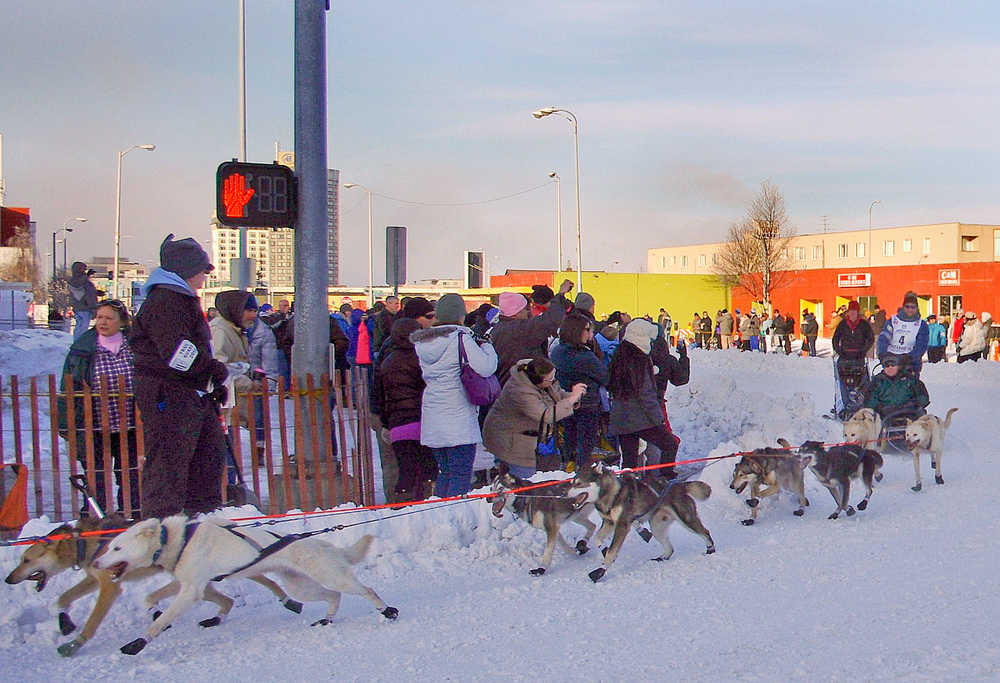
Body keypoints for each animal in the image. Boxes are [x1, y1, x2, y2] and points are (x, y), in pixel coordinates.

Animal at [2, 520, 292, 656]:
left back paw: (284, 597)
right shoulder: (94, 578)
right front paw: (64, 621)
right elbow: (63, 598)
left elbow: (92, 622)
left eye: (26, 559)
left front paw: (75, 644)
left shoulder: (109, 587)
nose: (8, 579)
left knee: (266, 580)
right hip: (201, 580)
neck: (87, 543)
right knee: (226, 599)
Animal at [93, 520, 398, 656]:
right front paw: (154, 611)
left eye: (117, 548)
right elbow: (150, 598)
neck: (177, 539)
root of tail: (321, 543)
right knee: (333, 596)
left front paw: (138, 642)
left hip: (331, 577)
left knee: (367, 590)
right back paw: (326, 619)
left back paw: (387, 610)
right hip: (300, 586)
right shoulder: (188, 583)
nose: (95, 563)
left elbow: (159, 622)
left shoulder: (192, 590)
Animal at [568, 464, 716, 584]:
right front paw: (604, 549)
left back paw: (710, 549)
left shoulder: (622, 525)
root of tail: (679, 485)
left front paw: (600, 571)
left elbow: (612, 552)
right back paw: (662, 558)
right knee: (670, 548)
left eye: (579, 483)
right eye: (572, 482)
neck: (612, 493)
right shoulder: (609, 523)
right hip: (657, 527)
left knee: (705, 532)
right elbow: (597, 538)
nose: (565, 494)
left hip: (686, 519)